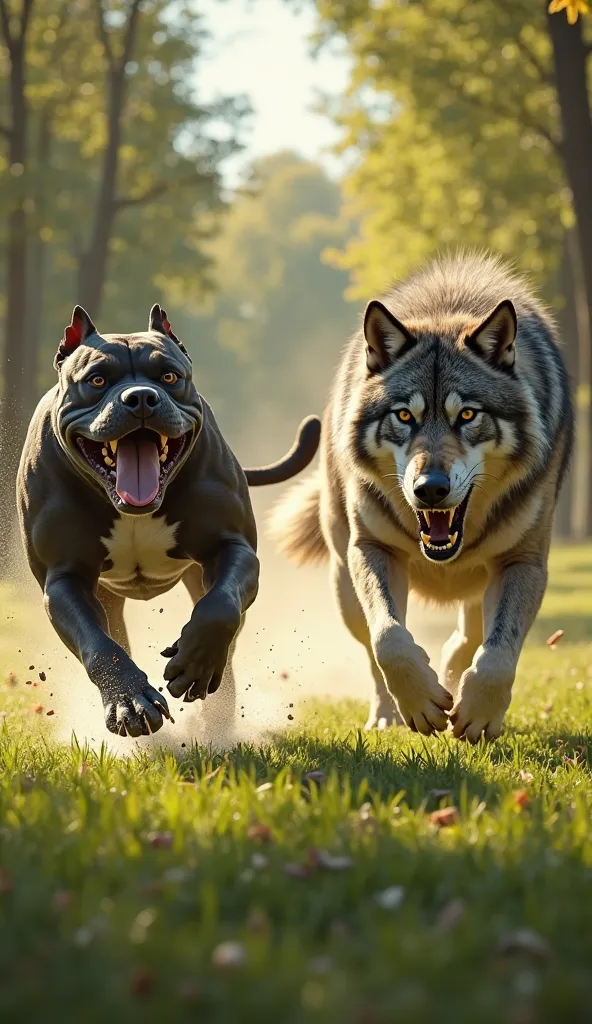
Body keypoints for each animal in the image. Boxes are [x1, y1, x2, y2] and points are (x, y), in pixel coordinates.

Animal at [18, 303, 319, 737]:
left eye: (170, 377)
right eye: (96, 379)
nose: (141, 397)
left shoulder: (232, 548)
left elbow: (219, 607)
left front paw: (195, 662)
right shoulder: (64, 579)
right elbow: (100, 645)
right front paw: (129, 702)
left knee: (227, 640)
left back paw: (216, 717)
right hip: (106, 597)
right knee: (115, 636)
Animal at [270, 251, 569, 741]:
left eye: (467, 415)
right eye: (405, 416)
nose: (430, 489)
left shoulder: (523, 562)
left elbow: (498, 651)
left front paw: (478, 711)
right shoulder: (373, 549)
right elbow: (389, 638)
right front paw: (420, 703)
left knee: (468, 635)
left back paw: (450, 678)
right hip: (343, 582)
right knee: (372, 646)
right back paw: (388, 714)